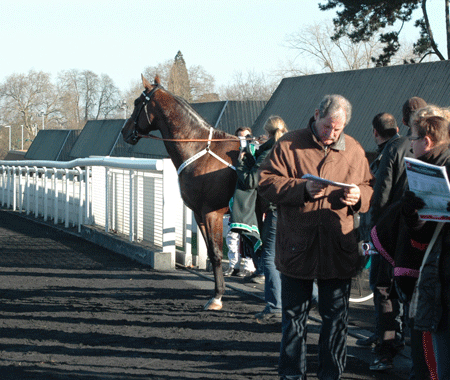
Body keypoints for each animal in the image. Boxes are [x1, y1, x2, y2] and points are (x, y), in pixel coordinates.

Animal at [121, 74, 241, 308]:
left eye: (137, 103)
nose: (124, 130)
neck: (201, 150)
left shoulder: (213, 212)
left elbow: (216, 253)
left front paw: (217, 296)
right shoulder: (199, 213)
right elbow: (211, 253)